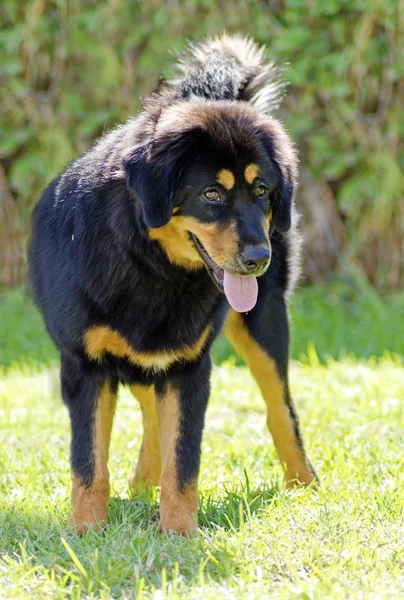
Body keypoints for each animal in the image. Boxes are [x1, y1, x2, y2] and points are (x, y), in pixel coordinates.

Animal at [30, 35, 318, 536]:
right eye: (211, 194)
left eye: (262, 191)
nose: (259, 258)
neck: (151, 267)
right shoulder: (86, 366)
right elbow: (90, 463)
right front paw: (86, 532)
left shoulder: (188, 367)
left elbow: (183, 462)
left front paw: (179, 533)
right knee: (149, 412)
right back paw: (142, 483)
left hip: (262, 323)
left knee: (280, 408)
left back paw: (304, 485)